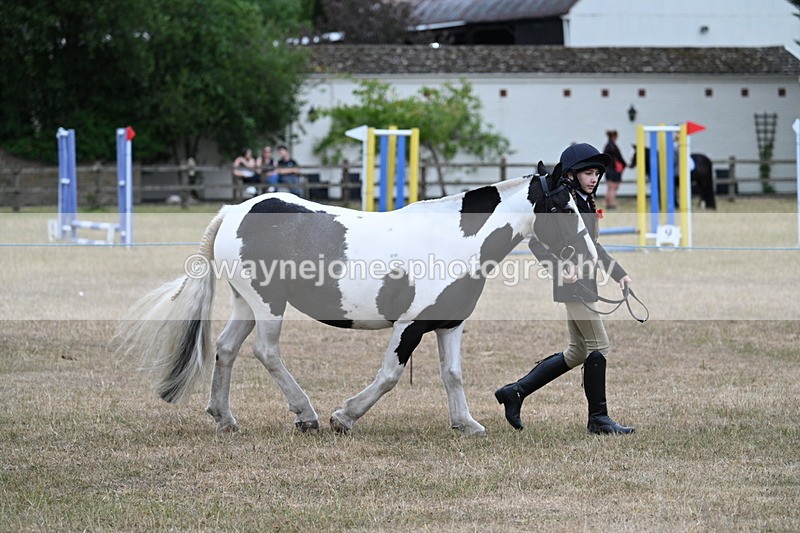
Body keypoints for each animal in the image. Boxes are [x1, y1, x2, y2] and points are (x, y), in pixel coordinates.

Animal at [117, 162, 597, 437]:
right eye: (563, 206)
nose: (588, 257)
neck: (454, 240)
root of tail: (235, 211)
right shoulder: (409, 326)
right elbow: (388, 376)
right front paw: (344, 417)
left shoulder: (449, 324)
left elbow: (453, 375)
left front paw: (466, 424)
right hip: (268, 305)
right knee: (265, 352)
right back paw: (306, 415)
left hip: (246, 304)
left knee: (226, 349)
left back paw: (224, 417)